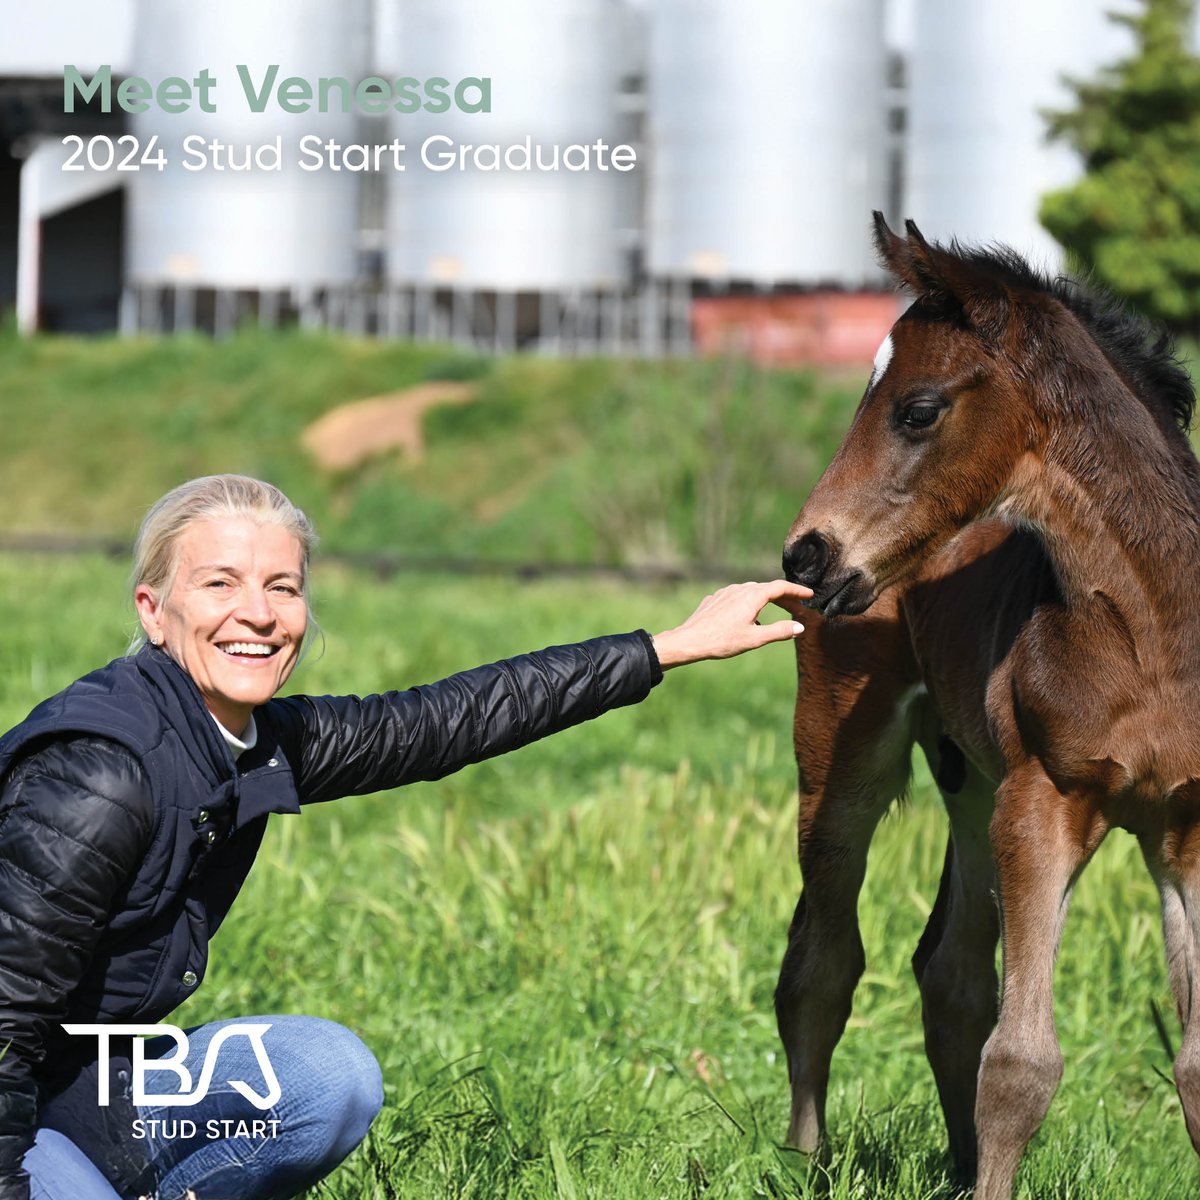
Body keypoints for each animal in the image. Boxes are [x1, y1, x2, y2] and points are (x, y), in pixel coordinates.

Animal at [775, 213, 1200, 1200]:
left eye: (919, 408)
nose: (806, 554)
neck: (1157, 632)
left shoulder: (1188, 827)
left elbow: (1196, 1065)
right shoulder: (1044, 799)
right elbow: (1022, 1064)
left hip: (973, 783)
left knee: (950, 975)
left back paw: (961, 1168)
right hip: (846, 757)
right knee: (822, 964)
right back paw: (805, 1165)